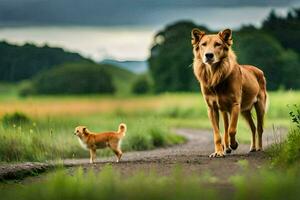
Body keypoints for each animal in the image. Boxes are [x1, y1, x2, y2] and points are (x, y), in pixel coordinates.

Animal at [191, 28, 268, 157]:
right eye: (203, 44)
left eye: (218, 44)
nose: (209, 55)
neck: (214, 74)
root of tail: (259, 70)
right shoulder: (212, 108)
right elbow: (218, 133)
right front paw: (218, 152)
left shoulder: (235, 105)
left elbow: (232, 129)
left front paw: (234, 144)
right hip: (243, 110)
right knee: (252, 127)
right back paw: (250, 148)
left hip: (260, 106)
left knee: (259, 128)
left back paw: (259, 148)